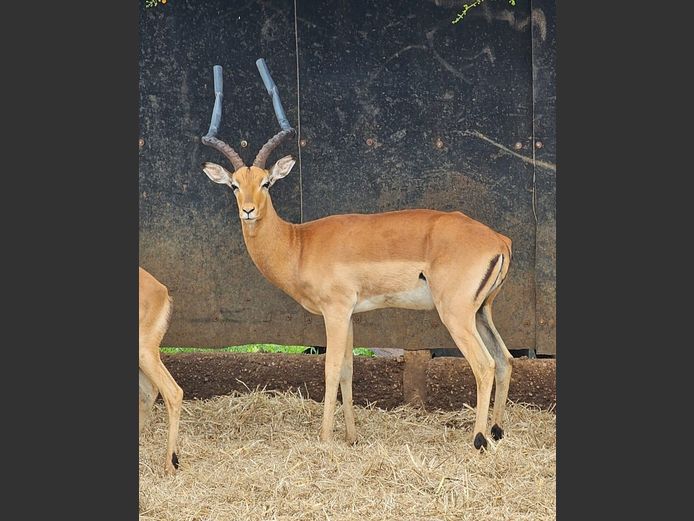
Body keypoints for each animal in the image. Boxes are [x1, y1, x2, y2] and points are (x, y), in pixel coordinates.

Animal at [200, 61, 513, 450]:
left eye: (266, 183)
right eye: (234, 185)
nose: (248, 210)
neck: (298, 243)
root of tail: (498, 239)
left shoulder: (334, 311)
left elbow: (331, 368)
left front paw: (324, 438)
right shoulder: (349, 313)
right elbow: (349, 370)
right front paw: (350, 437)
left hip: (456, 313)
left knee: (484, 365)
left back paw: (479, 439)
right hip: (482, 310)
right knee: (505, 359)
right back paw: (497, 431)